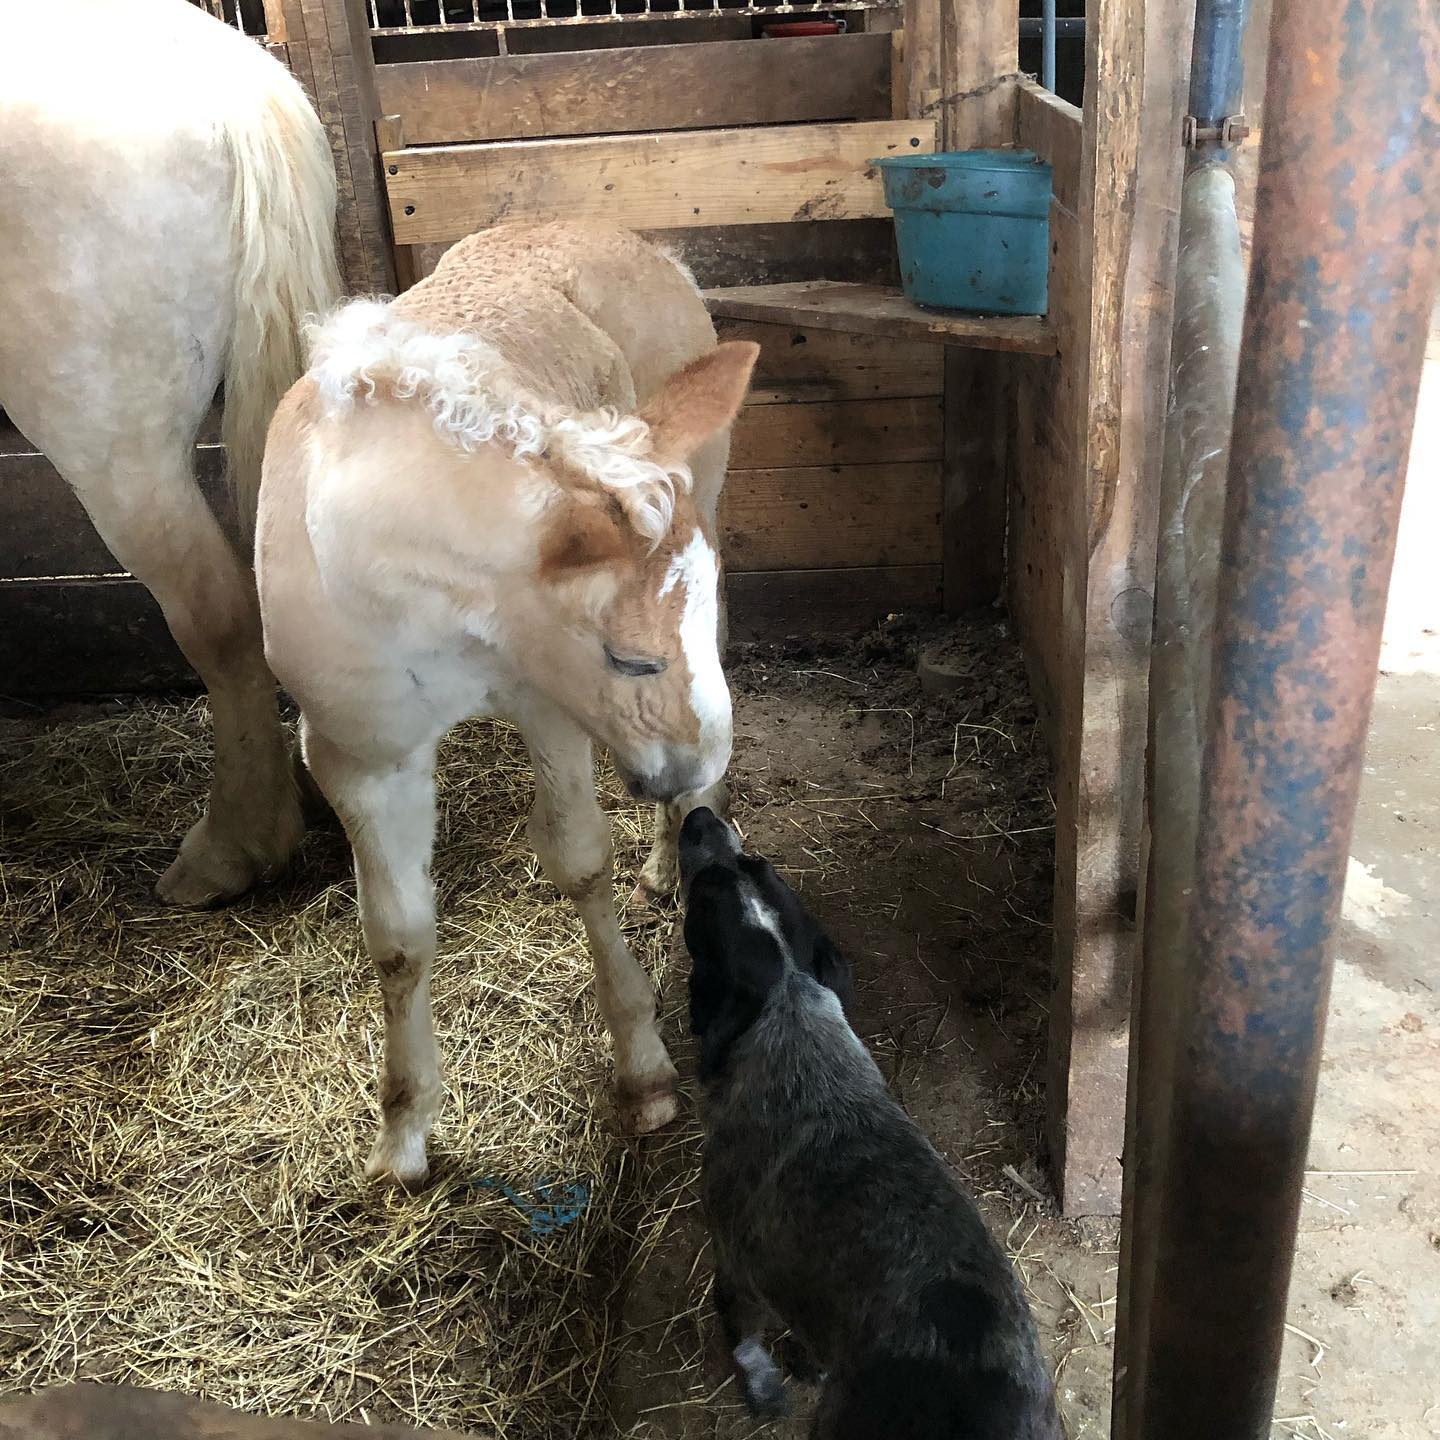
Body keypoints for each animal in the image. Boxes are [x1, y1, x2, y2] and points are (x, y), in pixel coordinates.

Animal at [256, 221, 757, 1184]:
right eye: (625, 657)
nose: (695, 762)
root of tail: (622, 236)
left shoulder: (548, 701)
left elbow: (579, 860)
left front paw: (643, 1070)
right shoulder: (360, 754)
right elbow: (397, 933)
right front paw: (403, 1133)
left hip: (707, 484)